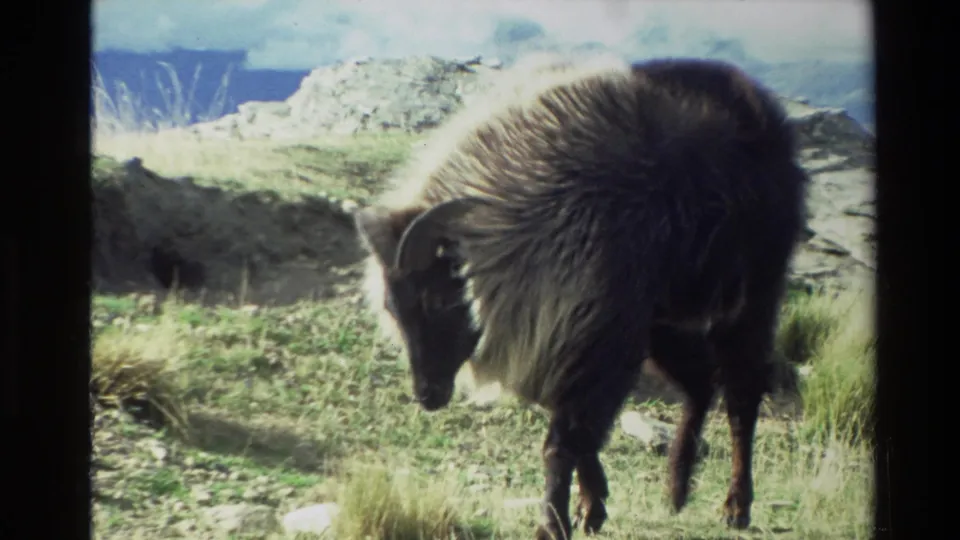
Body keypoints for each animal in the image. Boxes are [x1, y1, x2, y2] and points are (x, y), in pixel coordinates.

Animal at [353, 52, 809, 539]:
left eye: (438, 300)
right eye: (393, 308)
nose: (428, 395)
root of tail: (765, 111)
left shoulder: (601, 342)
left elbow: (564, 441)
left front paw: (553, 523)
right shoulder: (575, 340)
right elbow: (582, 437)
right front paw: (592, 508)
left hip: (750, 295)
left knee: (742, 393)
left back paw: (736, 505)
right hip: (664, 322)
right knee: (701, 381)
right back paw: (677, 488)